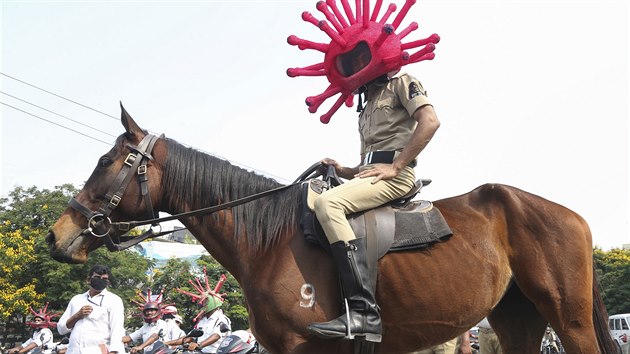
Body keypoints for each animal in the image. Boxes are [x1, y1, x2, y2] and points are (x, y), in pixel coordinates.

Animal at [47, 106, 620, 352]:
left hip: (568, 321)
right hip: (516, 316)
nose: (57, 235)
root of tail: (571, 215)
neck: (268, 241)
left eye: (106, 161)